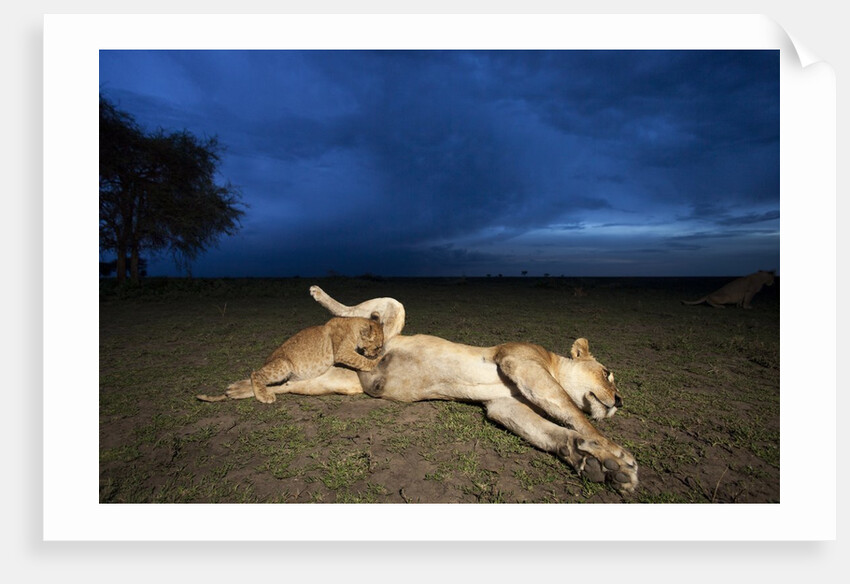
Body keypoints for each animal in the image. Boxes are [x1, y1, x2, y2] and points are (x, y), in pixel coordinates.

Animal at [196, 314, 384, 404]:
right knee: (255, 374)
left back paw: (234, 390)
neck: (353, 326)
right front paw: (378, 360)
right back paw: (263, 396)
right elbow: (362, 360)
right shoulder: (342, 352)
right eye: (377, 346)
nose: (376, 352)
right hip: (283, 365)